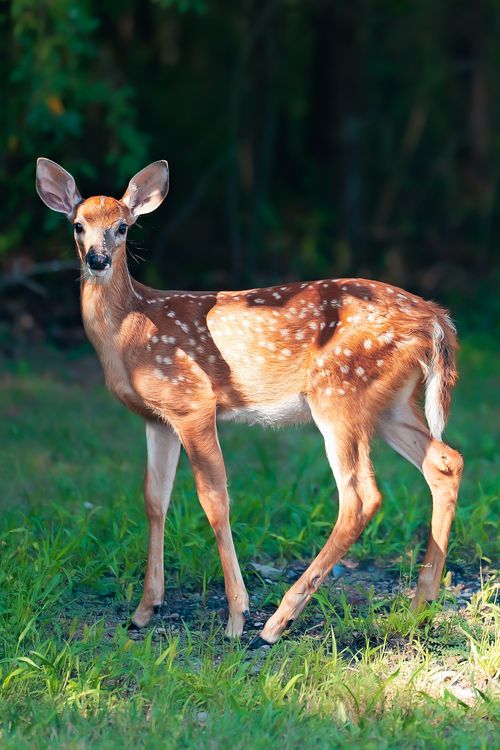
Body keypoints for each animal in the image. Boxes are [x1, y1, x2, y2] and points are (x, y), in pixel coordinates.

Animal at [35, 157, 463, 646]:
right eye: (78, 225)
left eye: (123, 227)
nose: (97, 259)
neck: (130, 331)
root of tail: (437, 319)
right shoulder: (157, 418)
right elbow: (154, 498)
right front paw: (144, 610)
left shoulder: (193, 402)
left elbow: (214, 499)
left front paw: (236, 617)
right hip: (388, 403)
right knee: (445, 463)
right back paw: (419, 605)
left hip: (339, 394)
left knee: (361, 497)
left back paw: (278, 621)